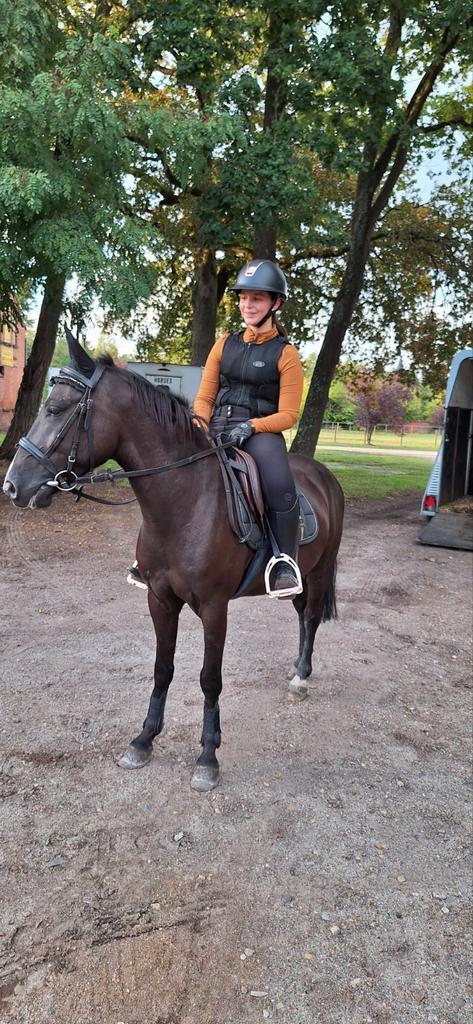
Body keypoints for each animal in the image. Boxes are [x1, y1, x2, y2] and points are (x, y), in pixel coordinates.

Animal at [3, 333, 344, 792]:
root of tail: (323, 475)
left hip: (320, 570)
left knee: (310, 617)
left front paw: (207, 757)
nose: (12, 486)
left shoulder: (215, 609)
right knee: (301, 614)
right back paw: (296, 669)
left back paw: (302, 678)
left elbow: (209, 679)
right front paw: (144, 740)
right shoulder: (160, 600)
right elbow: (162, 668)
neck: (184, 502)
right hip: (301, 575)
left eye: (56, 408)